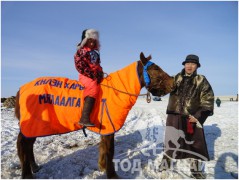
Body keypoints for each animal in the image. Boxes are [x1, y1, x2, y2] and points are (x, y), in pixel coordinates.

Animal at [14, 52, 175, 179]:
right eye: (155, 69)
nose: (173, 84)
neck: (115, 91)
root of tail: (21, 89)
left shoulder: (106, 130)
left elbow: (104, 149)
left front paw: (103, 167)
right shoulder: (109, 128)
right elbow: (110, 151)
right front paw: (112, 174)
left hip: (35, 127)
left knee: (28, 145)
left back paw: (34, 167)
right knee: (23, 145)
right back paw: (27, 174)